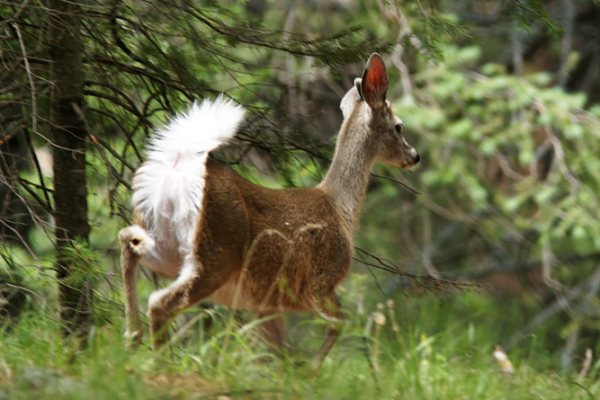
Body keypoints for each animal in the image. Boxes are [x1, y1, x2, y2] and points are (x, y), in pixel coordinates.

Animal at [118, 53, 420, 367]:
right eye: (399, 126)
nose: (415, 156)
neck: (340, 207)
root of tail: (179, 166)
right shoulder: (318, 282)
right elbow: (339, 324)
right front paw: (313, 369)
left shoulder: (265, 302)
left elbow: (281, 352)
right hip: (215, 252)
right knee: (160, 302)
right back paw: (158, 360)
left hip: (167, 244)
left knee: (128, 240)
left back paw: (132, 337)